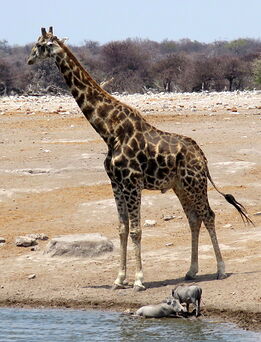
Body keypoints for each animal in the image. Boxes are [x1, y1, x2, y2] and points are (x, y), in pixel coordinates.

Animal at [26, 27, 252, 292]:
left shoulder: (132, 183)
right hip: (180, 186)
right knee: (194, 219)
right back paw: (191, 271)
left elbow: (136, 230)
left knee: (209, 215)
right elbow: (122, 229)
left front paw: (138, 280)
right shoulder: (116, 184)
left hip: (194, 183)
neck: (109, 131)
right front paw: (118, 279)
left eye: (41, 45)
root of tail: (202, 157)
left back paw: (221, 270)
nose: (29, 60)